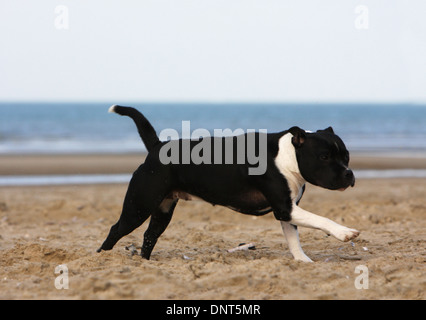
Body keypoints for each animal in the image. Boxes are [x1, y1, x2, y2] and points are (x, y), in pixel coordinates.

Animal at [97, 106, 360, 262]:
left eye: (346, 156)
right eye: (324, 157)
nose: (349, 174)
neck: (288, 154)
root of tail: (157, 147)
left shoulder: (287, 210)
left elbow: (294, 240)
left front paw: (303, 261)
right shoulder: (285, 208)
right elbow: (321, 219)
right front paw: (344, 232)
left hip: (162, 211)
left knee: (149, 236)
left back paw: (145, 263)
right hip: (138, 207)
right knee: (116, 230)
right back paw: (102, 256)